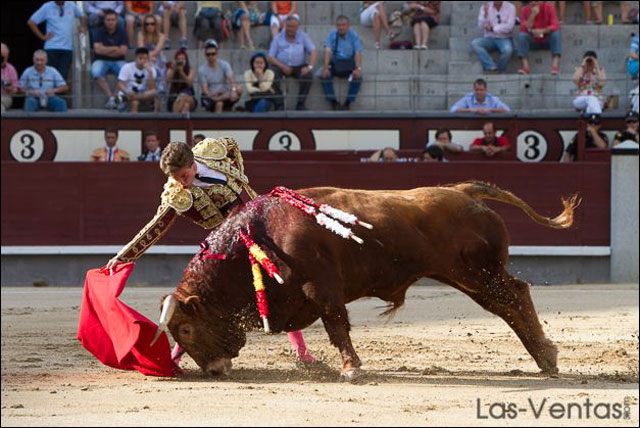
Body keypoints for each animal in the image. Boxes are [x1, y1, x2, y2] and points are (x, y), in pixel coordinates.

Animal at [156, 182, 580, 380]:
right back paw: (545, 358)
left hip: (478, 273)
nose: (214, 370)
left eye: (187, 330)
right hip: (467, 276)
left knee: (515, 296)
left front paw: (350, 369)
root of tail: (461, 190)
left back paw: (547, 357)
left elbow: (336, 325)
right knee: (508, 304)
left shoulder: (322, 287)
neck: (260, 235)